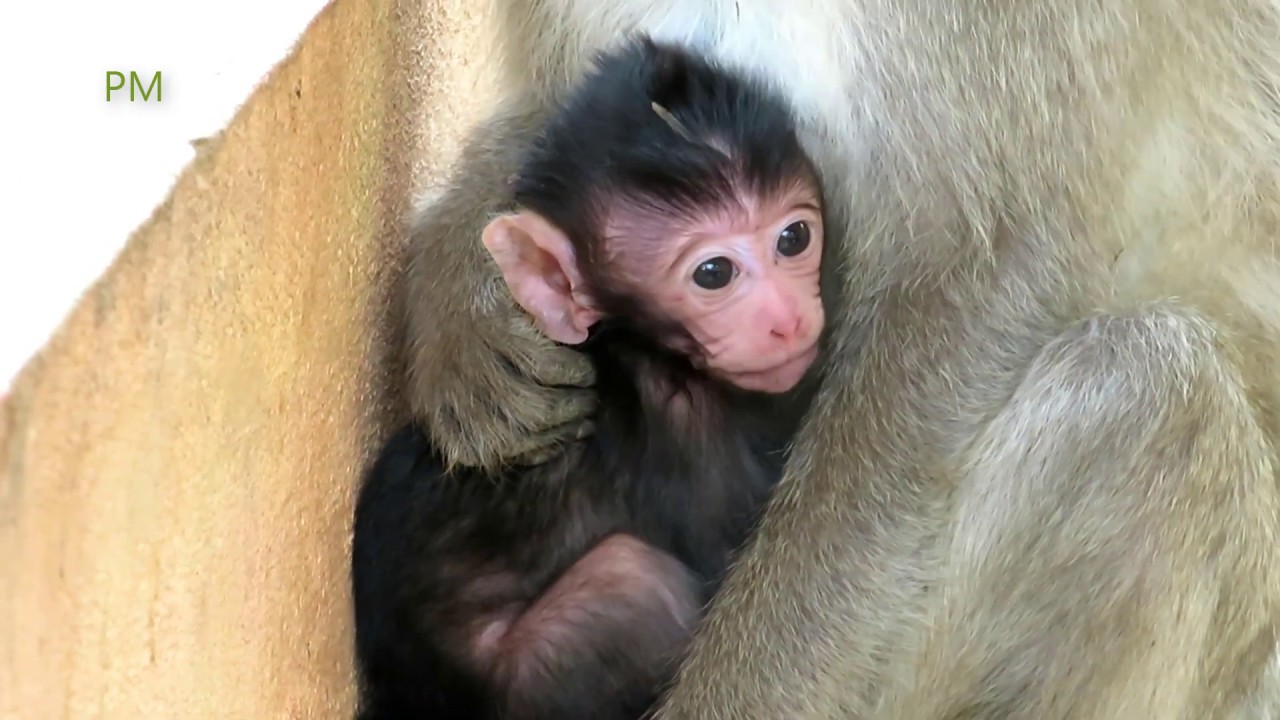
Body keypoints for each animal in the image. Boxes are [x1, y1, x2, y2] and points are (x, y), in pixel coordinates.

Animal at [354, 37, 828, 720]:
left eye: (794, 237)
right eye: (713, 274)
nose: (787, 320)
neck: (641, 347)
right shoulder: (684, 430)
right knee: (641, 587)